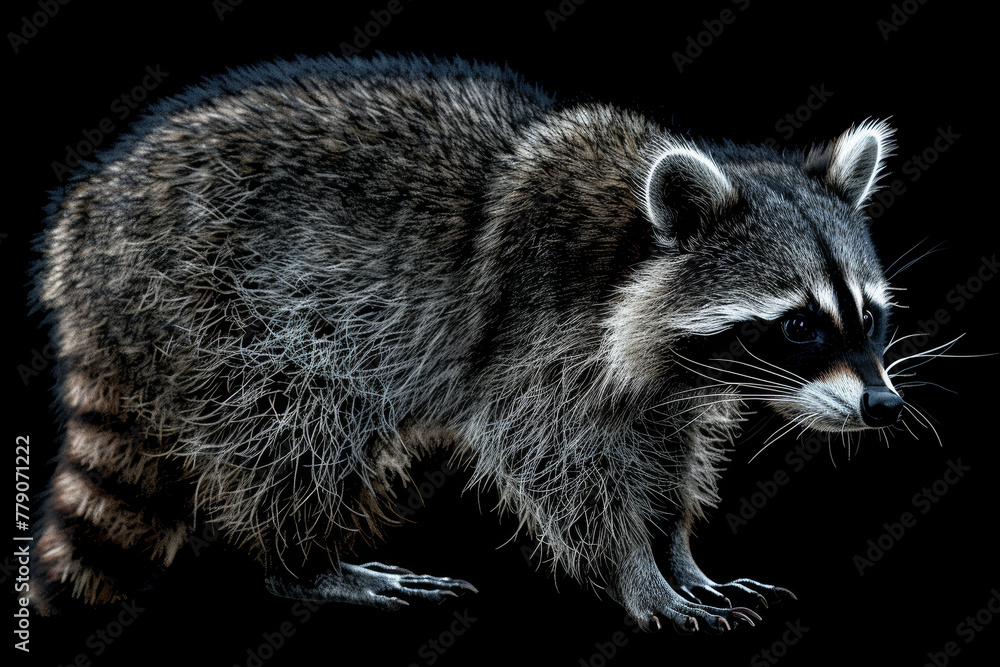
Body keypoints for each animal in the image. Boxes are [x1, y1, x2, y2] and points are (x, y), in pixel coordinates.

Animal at [31, 54, 906, 632]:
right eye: (799, 324)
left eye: (870, 318)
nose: (885, 405)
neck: (632, 243)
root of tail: (87, 216)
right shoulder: (538, 336)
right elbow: (557, 461)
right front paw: (636, 571)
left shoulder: (666, 389)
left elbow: (667, 456)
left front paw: (679, 549)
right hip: (218, 306)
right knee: (295, 422)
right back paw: (303, 560)